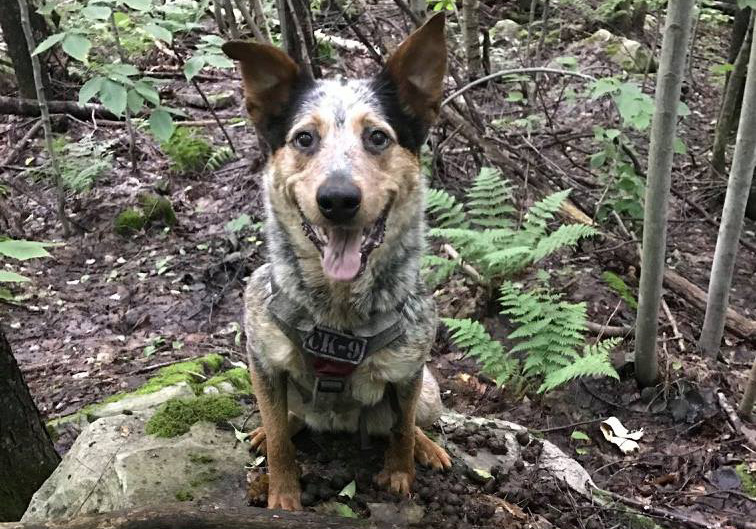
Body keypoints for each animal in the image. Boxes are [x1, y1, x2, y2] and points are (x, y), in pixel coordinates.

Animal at [221, 14, 452, 510]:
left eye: (378, 137)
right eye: (304, 138)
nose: (339, 200)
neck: (338, 312)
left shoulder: (409, 371)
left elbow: (401, 430)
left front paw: (400, 474)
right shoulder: (262, 361)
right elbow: (280, 441)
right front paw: (283, 493)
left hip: (430, 390)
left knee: (412, 421)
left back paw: (427, 446)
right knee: (285, 421)